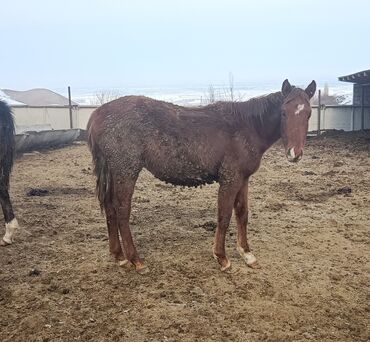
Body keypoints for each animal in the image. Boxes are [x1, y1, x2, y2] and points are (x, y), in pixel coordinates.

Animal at [86, 79, 316, 272]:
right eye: (284, 112)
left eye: (308, 114)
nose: (294, 153)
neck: (246, 127)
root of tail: (98, 114)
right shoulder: (230, 179)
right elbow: (224, 216)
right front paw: (222, 257)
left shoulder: (243, 179)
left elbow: (242, 213)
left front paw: (247, 254)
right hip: (126, 171)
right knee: (122, 211)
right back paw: (136, 260)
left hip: (114, 172)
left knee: (110, 208)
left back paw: (119, 256)